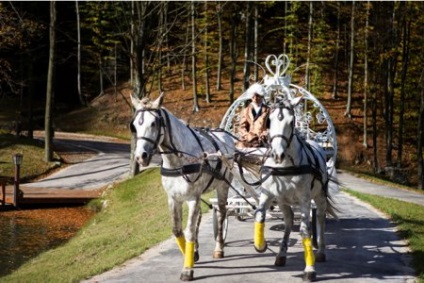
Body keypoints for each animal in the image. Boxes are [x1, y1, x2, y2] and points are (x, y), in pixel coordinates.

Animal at [130, 93, 235, 282]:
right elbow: (178, 230)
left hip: (222, 185)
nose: (141, 156)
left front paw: (187, 269)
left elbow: (190, 231)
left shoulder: (193, 198)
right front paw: (191, 254)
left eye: (154, 123)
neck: (177, 161)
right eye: (134, 125)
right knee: (200, 218)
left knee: (222, 213)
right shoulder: (174, 199)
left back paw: (219, 248)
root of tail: (225, 137)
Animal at [253, 97, 340, 282]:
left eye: (291, 122)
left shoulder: (305, 200)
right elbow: (259, 215)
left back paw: (321, 252)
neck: (285, 165)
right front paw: (261, 245)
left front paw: (309, 269)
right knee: (288, 221)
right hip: (283, 202)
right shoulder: (268, 195)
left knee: (320, 218)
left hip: (319, 197)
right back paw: (281, 254)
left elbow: (305, 231)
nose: (278, 154)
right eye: (269, 121)